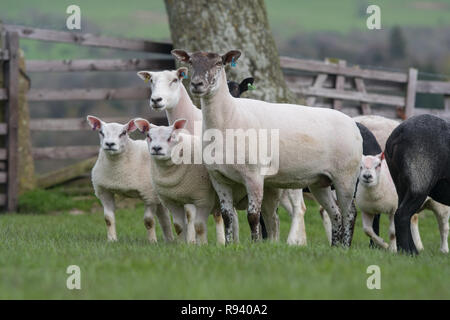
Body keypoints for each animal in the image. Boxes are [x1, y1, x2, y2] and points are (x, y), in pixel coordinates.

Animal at [133, 117, 225, 245]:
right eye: (148, 136)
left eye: (171, 137)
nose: (156, 148)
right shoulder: (171, 200)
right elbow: (178, 226)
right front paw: (182, 245)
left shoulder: (203, 198)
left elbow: (200, 226)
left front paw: (202, 245)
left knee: (219, 216)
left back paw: (222, 242)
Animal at [172, 49, 362, 245]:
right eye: (191, 62)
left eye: (219, 63)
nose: (197, 84)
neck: (230, 117)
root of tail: (353, 124)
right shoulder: (218, 177)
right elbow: (227, 216)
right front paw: (229, 245)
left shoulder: (254, 175)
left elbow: (253, 216)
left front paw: (255, 244)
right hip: (320, 181)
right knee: (335, 213)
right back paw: (335, 247)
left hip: (346, 176)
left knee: (350, 213)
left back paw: (345, 246)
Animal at [384, 114, 450, 254]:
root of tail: (399, 133)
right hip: (419, 182)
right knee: (402, 215)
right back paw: (408, 252)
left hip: (401, 184)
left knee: (404, 216)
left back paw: (411, 251)